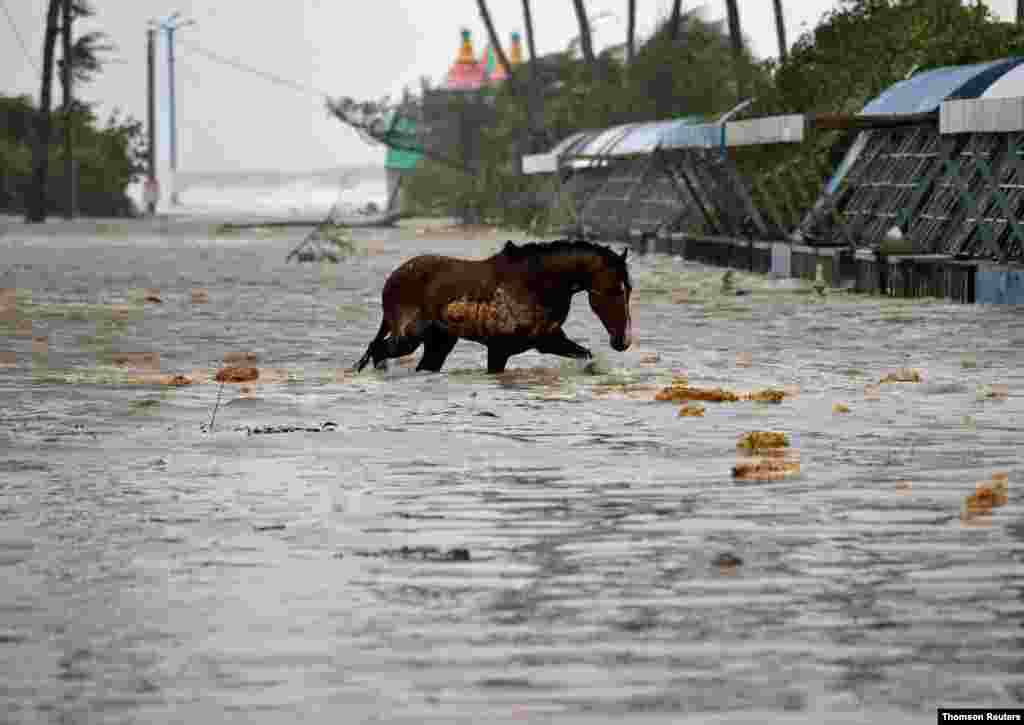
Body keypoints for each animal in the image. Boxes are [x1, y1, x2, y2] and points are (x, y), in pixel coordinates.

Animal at [356, 240, 634, 374]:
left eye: (628, 289)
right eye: (617, 290)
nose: (623, 341)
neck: (537, 283)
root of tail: (392, 278)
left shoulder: (549, 341)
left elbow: (586, 356)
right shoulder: (499, 350)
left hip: (439, 342)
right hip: (408, 338)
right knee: (377, 350)